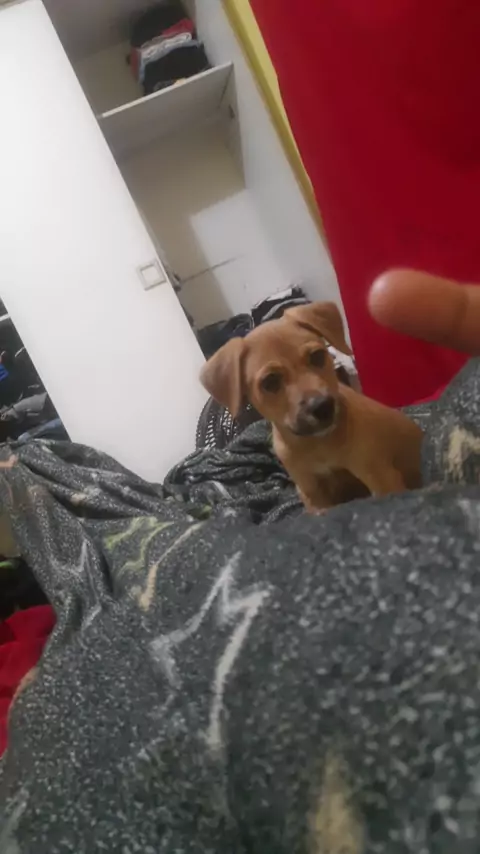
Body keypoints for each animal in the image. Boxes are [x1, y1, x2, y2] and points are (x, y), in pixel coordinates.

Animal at [200, 301, 423, 513]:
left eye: (317, 356)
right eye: (270, 382)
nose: (323, 407)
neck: (317, 444)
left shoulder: (381, 477)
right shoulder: (311, 492)